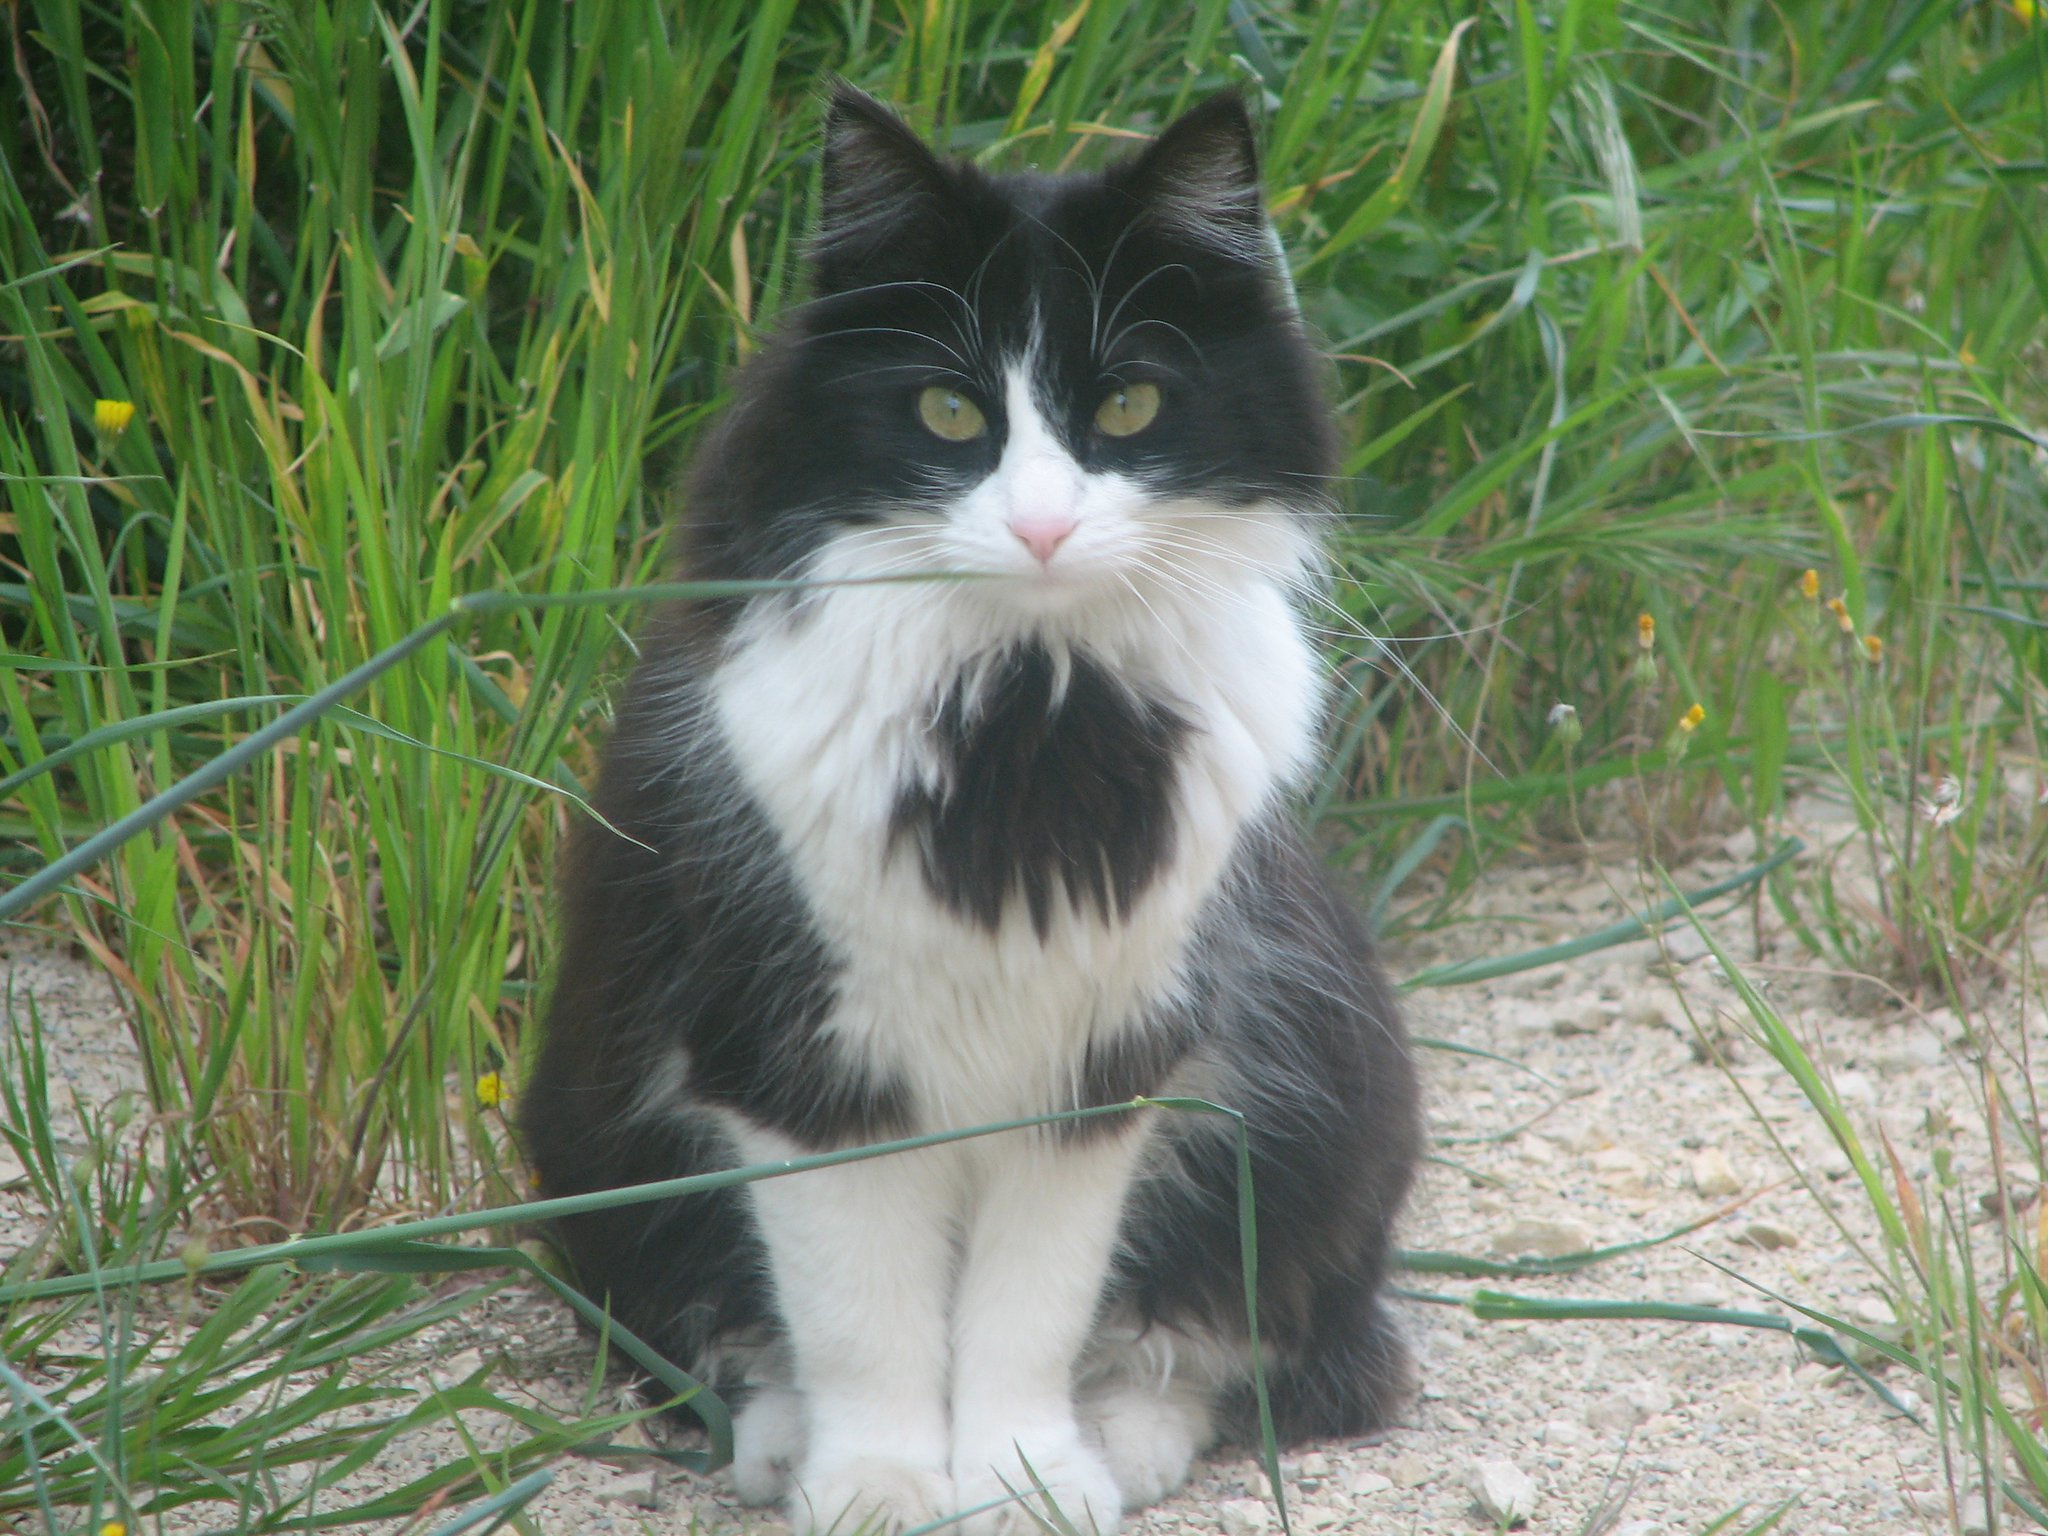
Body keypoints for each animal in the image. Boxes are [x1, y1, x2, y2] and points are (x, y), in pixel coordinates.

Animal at [524, 87, 1425, 1536]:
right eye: (950, 412)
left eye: (1129, 403)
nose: (1043, 529)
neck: (1029, 727)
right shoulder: (800, 1063)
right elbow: (861, 1314)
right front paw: (879, 1484)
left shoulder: (1098, 1066)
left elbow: (1028, 1312)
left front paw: (1024, 1479)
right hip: (598, 1138)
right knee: (711, 1331)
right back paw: (781, 1444)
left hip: (1319, 1123)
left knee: (1233, 1344)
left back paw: (1118, 1443)